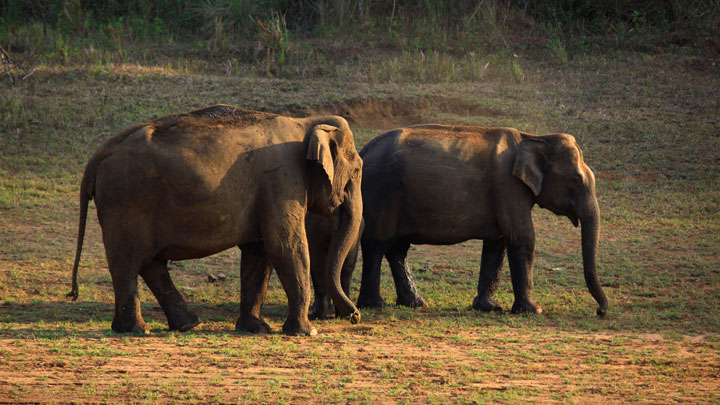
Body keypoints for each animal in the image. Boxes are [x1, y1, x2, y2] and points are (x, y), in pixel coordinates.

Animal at [66, 104, 366, 334]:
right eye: (357, 170)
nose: (355, 316)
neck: (305, 123)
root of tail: (95, 159)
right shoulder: (282, 181)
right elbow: (285, 246)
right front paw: (307, 332)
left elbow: (258, 252)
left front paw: (256, 329)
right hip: (126, 201)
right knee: (128, 262)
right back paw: (137, 330)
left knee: (150, 262)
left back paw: (186, 325)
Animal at [354, 123, 608, 316]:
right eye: (576, 180)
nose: (600, 311)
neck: (532, 138)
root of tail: (363, 151)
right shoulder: (508, 187)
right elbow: (523, 238)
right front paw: (533, 310)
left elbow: (497, 243)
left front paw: (489, 308)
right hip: (381, 194)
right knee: (377, 245)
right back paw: (375, 305)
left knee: (397, 248)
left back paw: (415, 303)